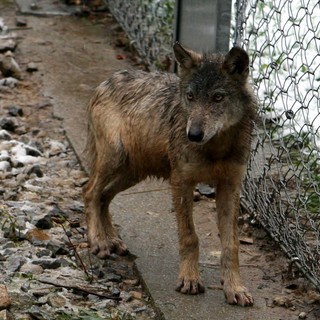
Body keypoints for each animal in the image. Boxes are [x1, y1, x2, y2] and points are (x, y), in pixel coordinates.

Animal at [83, 42, 258, 304]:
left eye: (218, 97)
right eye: (190, 96)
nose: (193, 135)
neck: (216, 148)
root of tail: (104, 82)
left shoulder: (230, 186)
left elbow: (231, 245)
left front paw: (234, 288)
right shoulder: (181, 182)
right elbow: (189, 237)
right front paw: (190, 279)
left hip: (132, 173)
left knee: (103, 196)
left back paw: (112, 239)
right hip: (115, 160)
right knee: (89, 192)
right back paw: (99, 241)